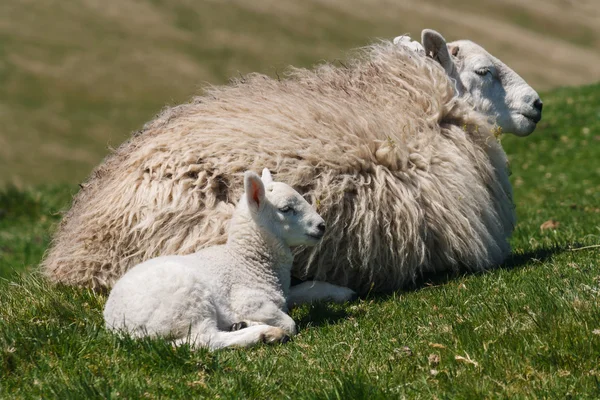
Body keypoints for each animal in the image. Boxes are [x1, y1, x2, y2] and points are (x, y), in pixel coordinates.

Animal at [103, 170, 354, 350]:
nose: (322, 226)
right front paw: (270, 328)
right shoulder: (249, 300)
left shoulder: (282, 293)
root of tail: (116, 325)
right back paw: (263, 333)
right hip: (187, 301)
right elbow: (290, 323)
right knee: (203, 339)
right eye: (286, 209)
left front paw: (343, 293)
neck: (246, 259)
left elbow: (306, 289)